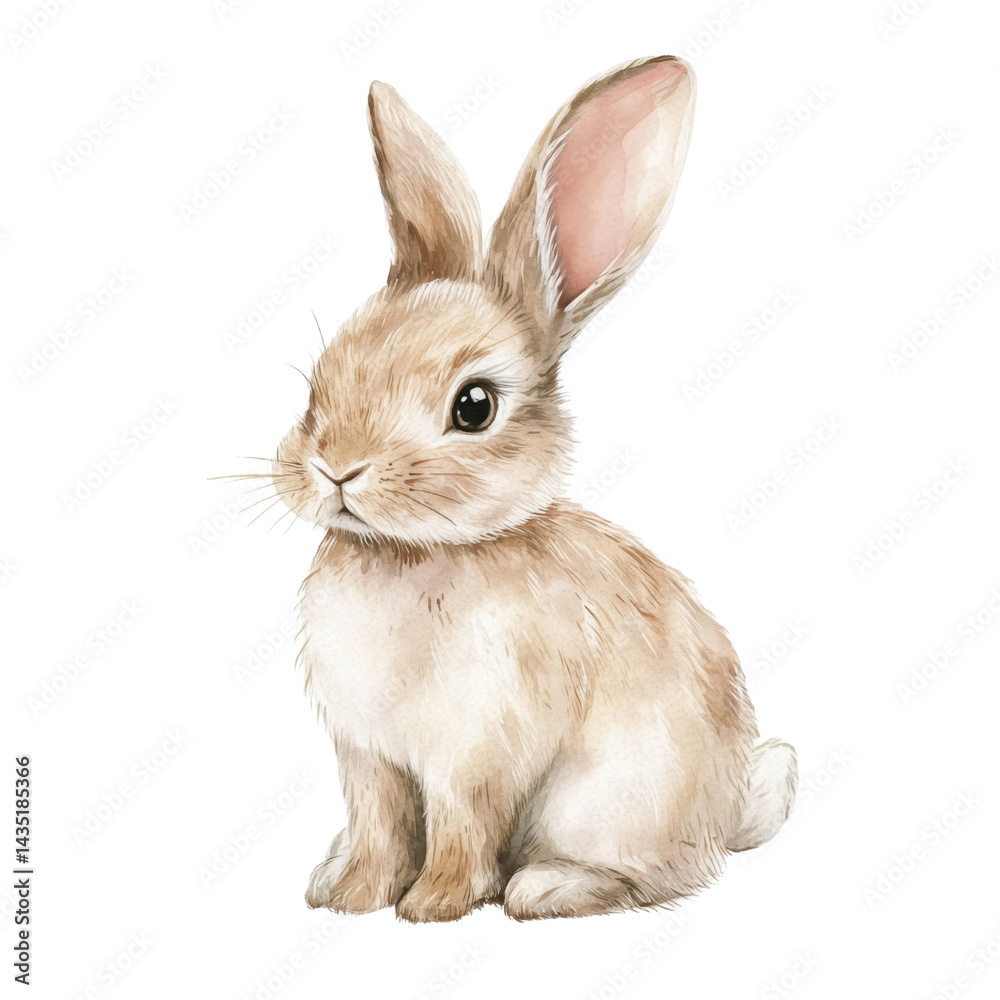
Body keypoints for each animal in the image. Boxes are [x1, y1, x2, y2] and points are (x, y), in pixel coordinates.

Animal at [269, 55, 797, 922]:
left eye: (474, 406)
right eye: (322, 377)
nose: (337, 468)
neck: (409, 554)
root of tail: (728, 816)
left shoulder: (477, 753)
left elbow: (459, 826)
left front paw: (433, 905)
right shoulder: (368, 757)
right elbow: (378, 825)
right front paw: (349, 898)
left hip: (608, 805)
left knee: (659, 876)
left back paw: (545, 887)